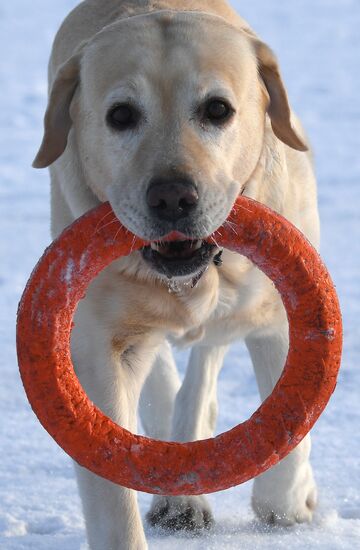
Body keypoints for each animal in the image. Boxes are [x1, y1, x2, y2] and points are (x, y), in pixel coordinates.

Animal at [33, 2, 320, 548]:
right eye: (121, 116)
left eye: (217, 110)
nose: (171, 197)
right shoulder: (98, 345)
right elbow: (111, 489)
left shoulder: (282, 310)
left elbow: (290, 436)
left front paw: (286, 507)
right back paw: (179, 494)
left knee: (205, 364)